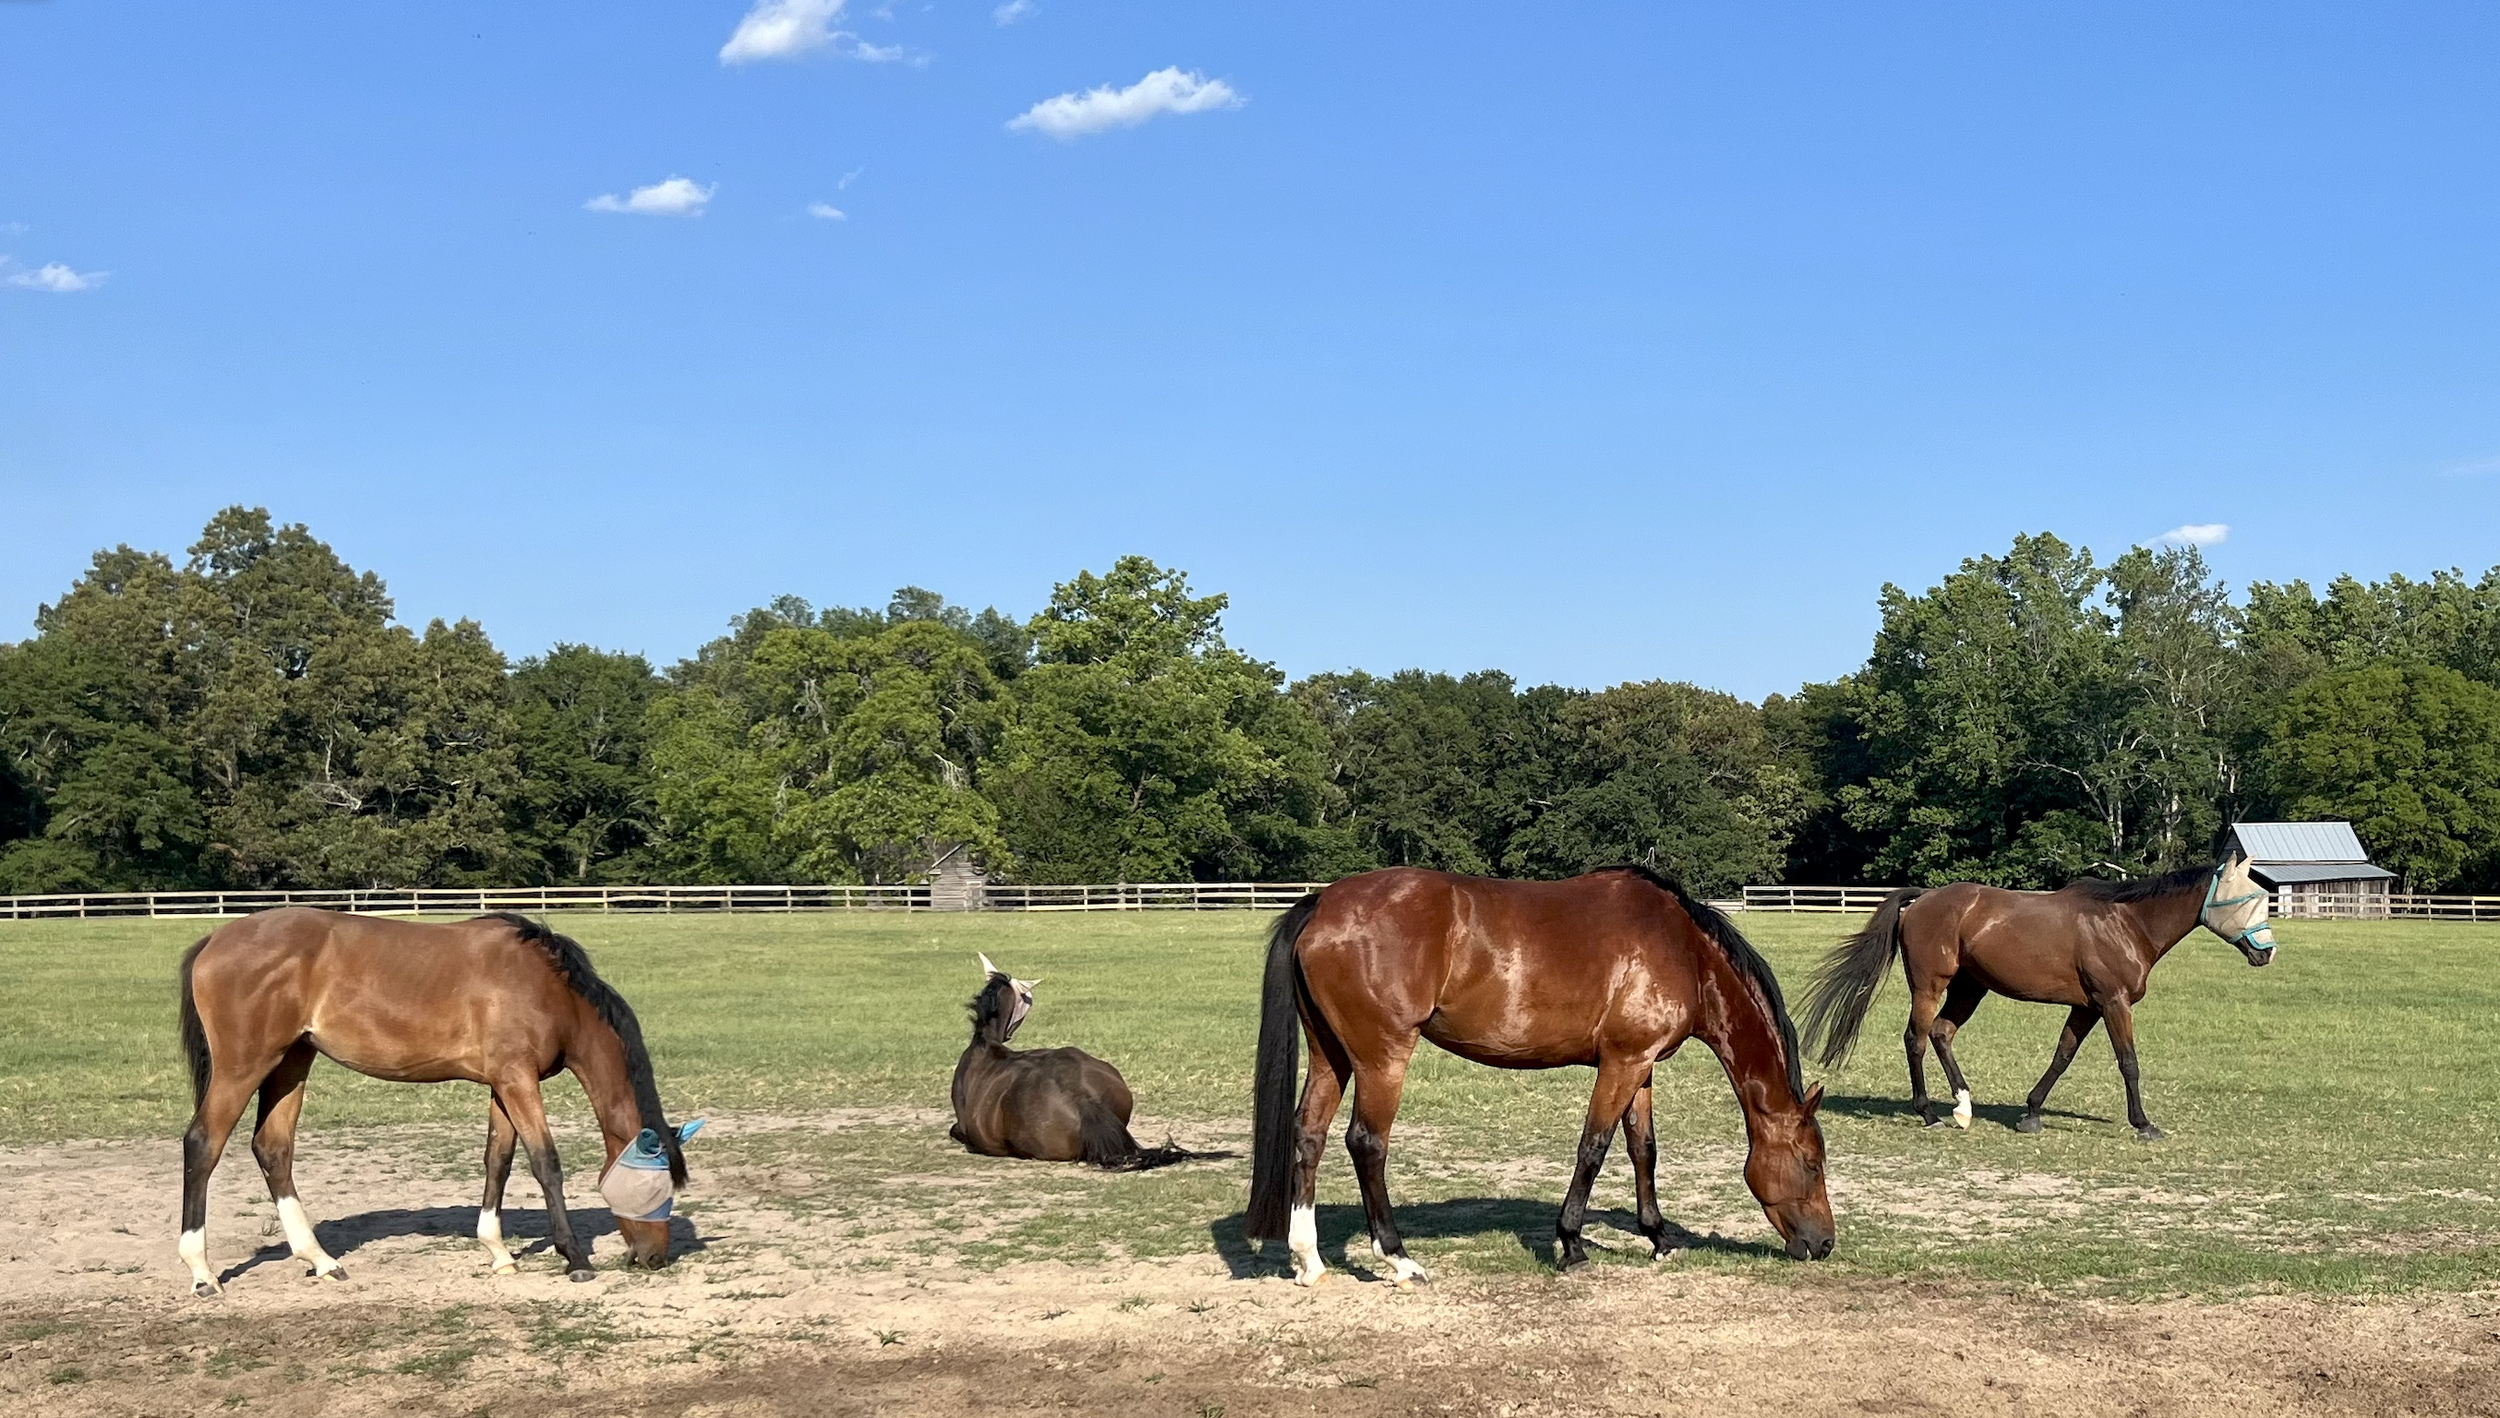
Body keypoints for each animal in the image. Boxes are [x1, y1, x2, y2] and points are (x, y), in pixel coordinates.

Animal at [175, 908, 699, 1296]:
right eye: (656, 1189)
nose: (655, 1258)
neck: (547, 988)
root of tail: (215, 939)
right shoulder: (518, 1080)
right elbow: (545, 1162)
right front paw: (574, 1257)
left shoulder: (503, 1083)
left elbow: (498, 1160)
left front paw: (498, 1253)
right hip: (245, 1066)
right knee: (203, 1144)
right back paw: (201, 1273)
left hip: (291, 1062)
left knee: (273, 1149)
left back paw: (321, 1260)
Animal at [1246, 865, 1834, 1286]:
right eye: (1812, 1164)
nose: (1825, 1244)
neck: (1684, 950)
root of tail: (1323, 902)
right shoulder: (1622, 1064)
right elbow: (1593, 1148)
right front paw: (1571, 1244)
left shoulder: (1640, 1066)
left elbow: (1643, 1149)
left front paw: (1659, 1238)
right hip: (1381, 1057)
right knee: (1366, 1143)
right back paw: (1399, 1259)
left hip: (1331, 1055)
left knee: (1309, 1135)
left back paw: (1308, 1260)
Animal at [1796, 856, 2278, 1141]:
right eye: (2248, 898)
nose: (2267, 952)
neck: (2127, 924)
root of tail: (1923, 899)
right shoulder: (2113, 1003)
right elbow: (2129, 1062)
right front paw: (2143, 1124)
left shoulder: (2086, 1007)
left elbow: (2061, 1056)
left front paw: (2030, 1112)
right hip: (1929, 987)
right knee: (1916, 1039)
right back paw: (1930, 1112)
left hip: (1970, 988)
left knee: (1941, 1034)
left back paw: (1963, 1106)